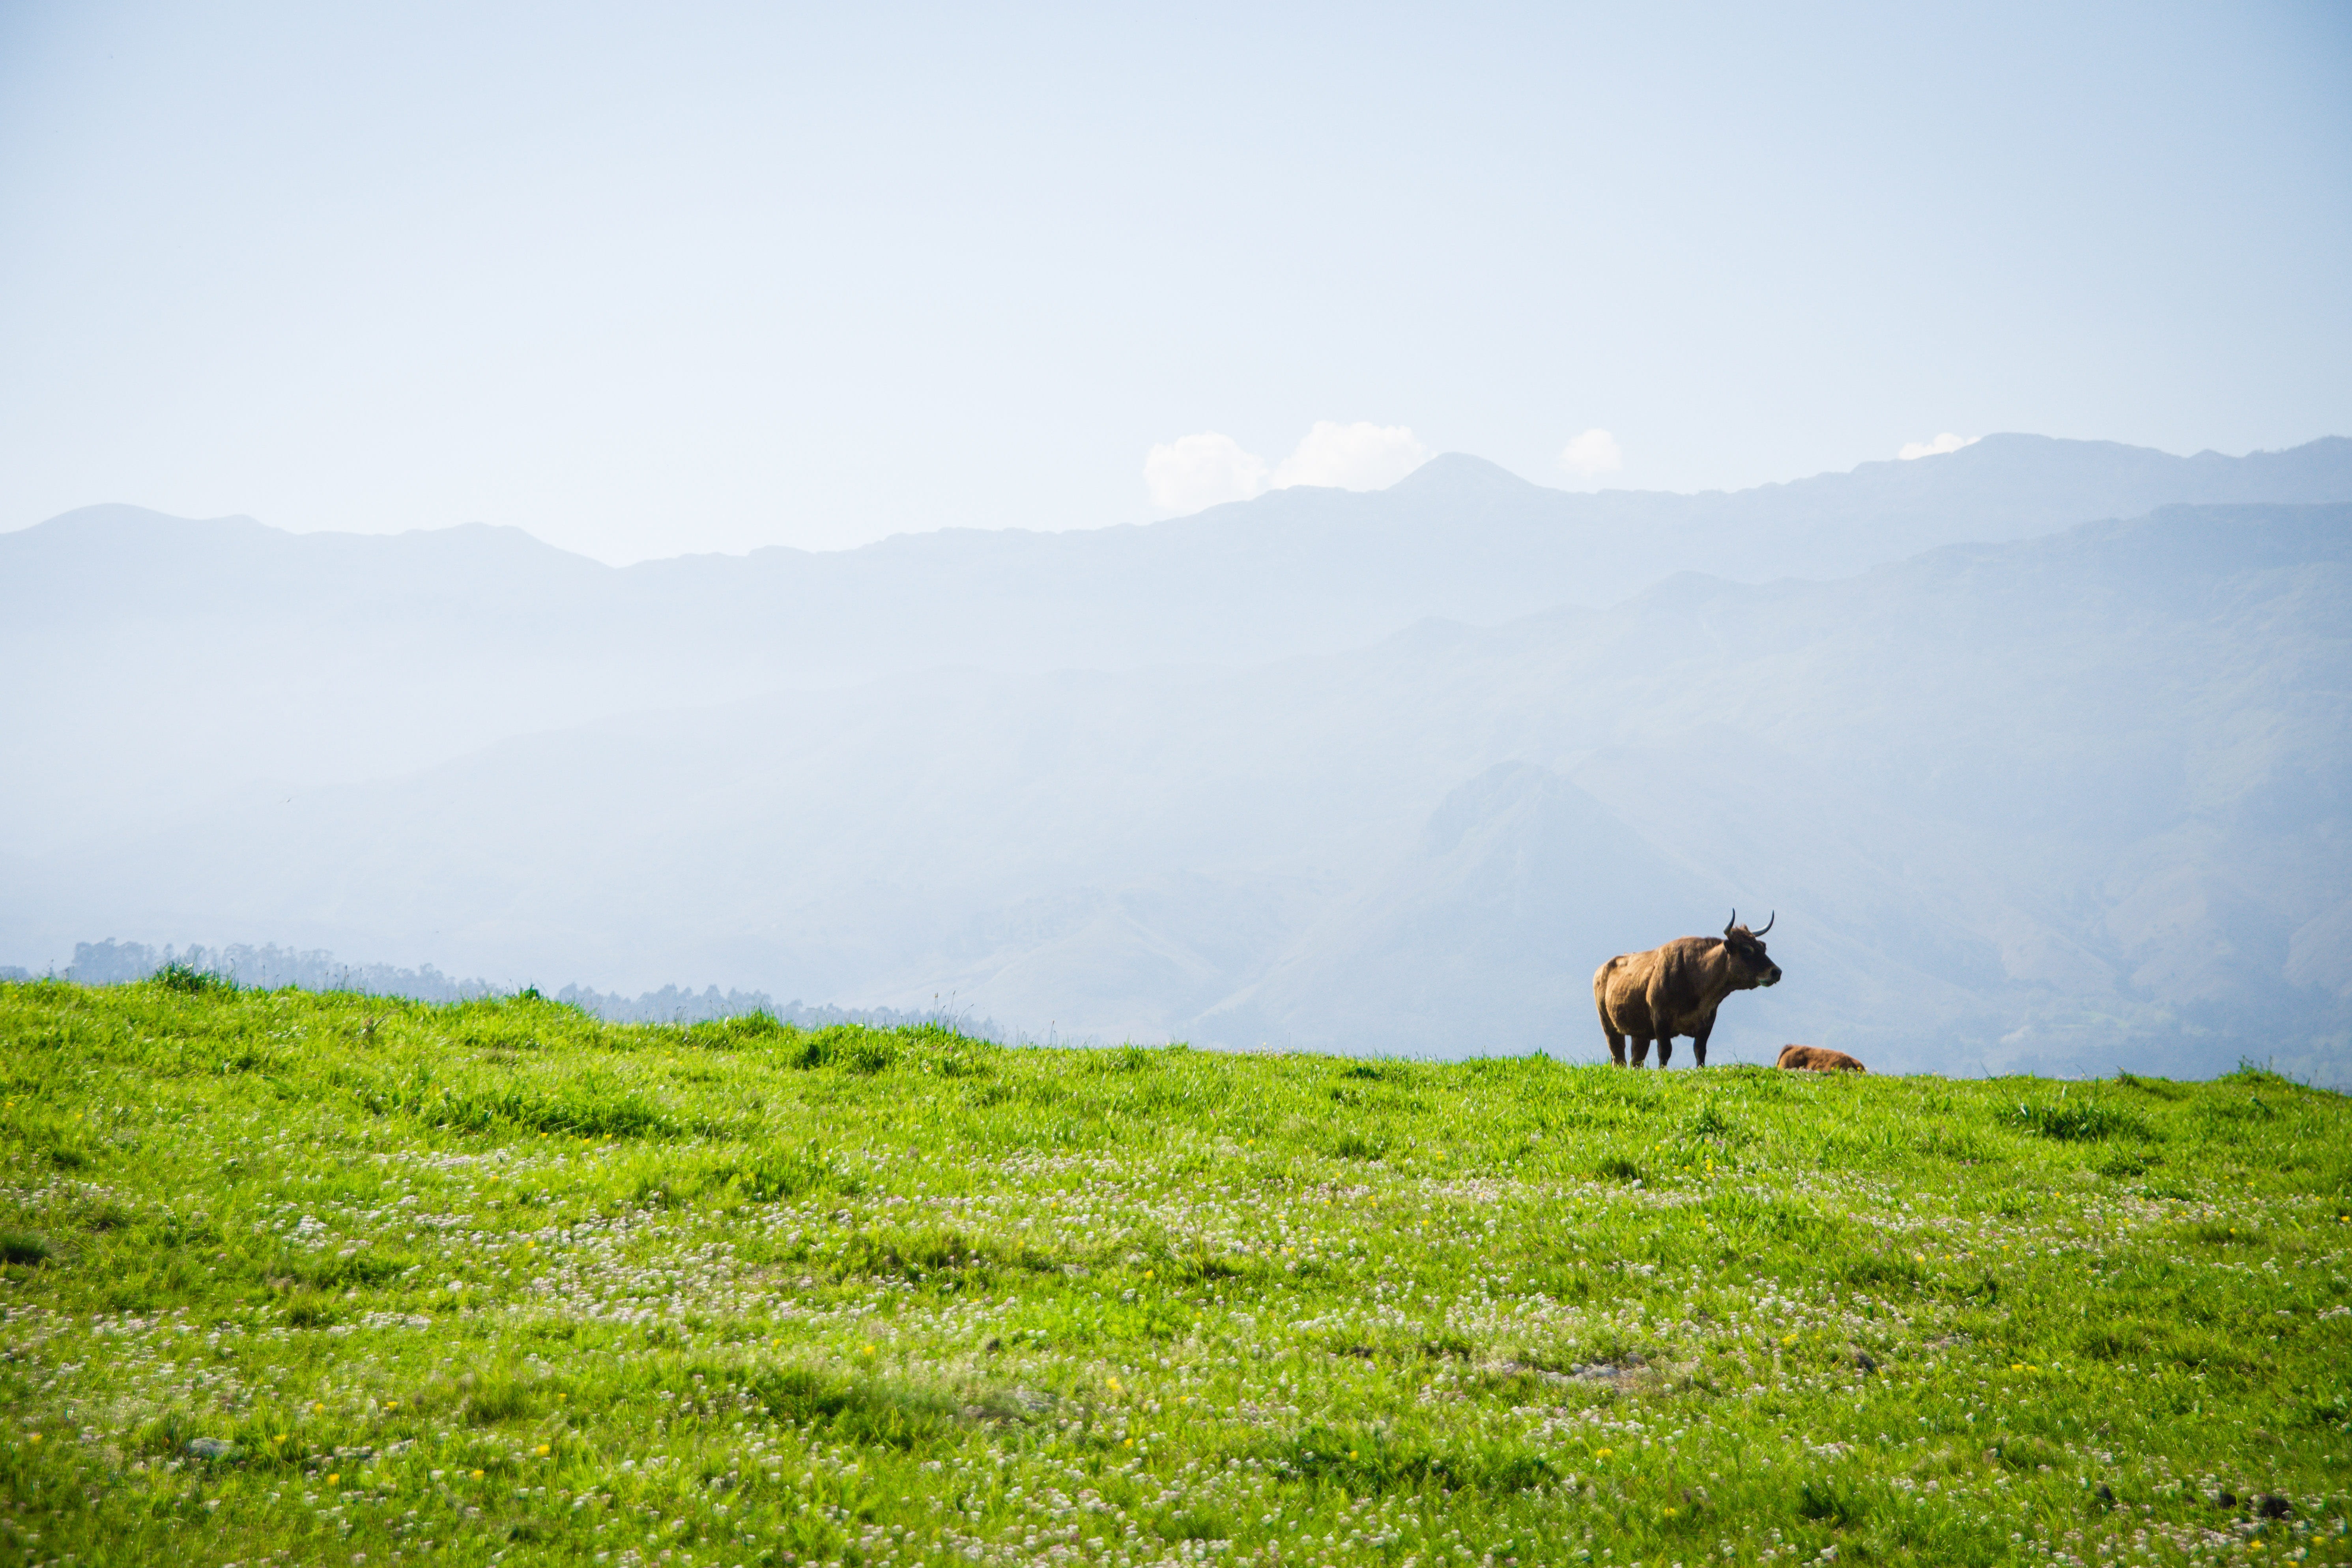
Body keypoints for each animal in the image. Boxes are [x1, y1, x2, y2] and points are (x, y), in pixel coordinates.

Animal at [1593, 911, 1782, 1068]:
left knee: (1636, 1061)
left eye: (1762, 948)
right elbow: (1665, 1052)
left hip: (1640, 1033)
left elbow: (1700, 1051)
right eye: (1747, 949)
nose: (1776, 972)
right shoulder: (1661, 1020)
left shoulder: (1707, 1021)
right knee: (1619, 1058)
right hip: (1609, 1026)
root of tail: (1602, 969)